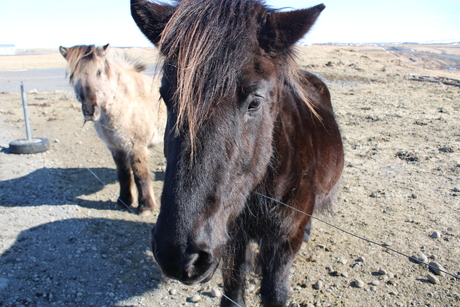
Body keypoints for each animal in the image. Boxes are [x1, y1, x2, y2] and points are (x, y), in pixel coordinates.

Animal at [60, 44, 165, 217]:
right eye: (73, 75)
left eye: (99, 71)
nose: (89, 110)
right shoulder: (115, 147)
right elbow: (123, 174)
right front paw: (124, 201)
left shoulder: (137, 147)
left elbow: (140, 174)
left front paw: (145, 207)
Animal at [131, 1, 344, 306]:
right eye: (165, 95)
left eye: (255, 101)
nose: (179, 255)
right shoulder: (233, 240)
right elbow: (234, 290)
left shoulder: (281, 245)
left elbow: (275, 292)